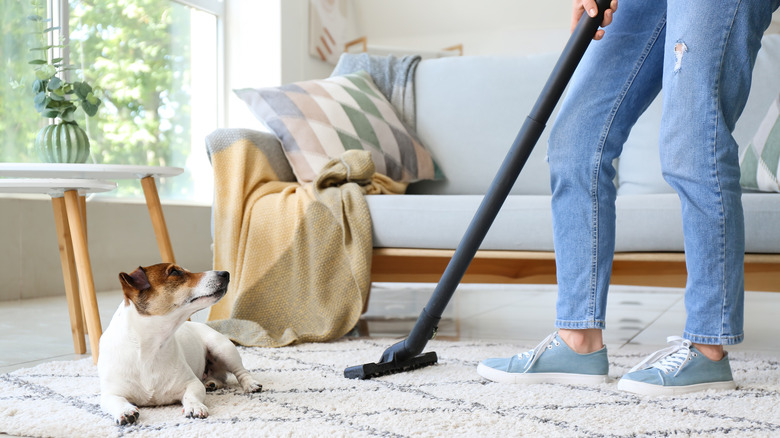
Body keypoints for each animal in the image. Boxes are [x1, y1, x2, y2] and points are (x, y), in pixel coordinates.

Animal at [96, 264, 262, 424]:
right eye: (175, 272)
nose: (225, 273)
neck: (149, 347)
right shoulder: (110, 393)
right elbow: (116, 401)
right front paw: (125, 411)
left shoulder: (192, 383)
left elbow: (191, 395)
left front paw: (194, 406)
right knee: (220, 377)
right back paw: (212, 382)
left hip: (223, 348)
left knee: (240, 372)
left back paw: (250, 384)